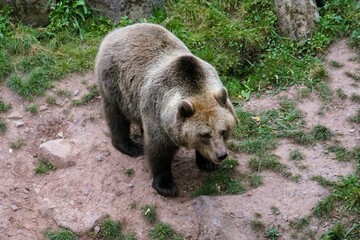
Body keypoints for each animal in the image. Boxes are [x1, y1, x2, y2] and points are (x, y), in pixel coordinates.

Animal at [94, 23, 238, 197]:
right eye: (205, 134)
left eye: (223, 131)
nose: (221, 155)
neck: (194, 86)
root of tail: (119, 30)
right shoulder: (158, 114)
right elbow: (158, 151)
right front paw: (166, 186)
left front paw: (207, 163)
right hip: (115, 83)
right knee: (116, 116)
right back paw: (129, 146)